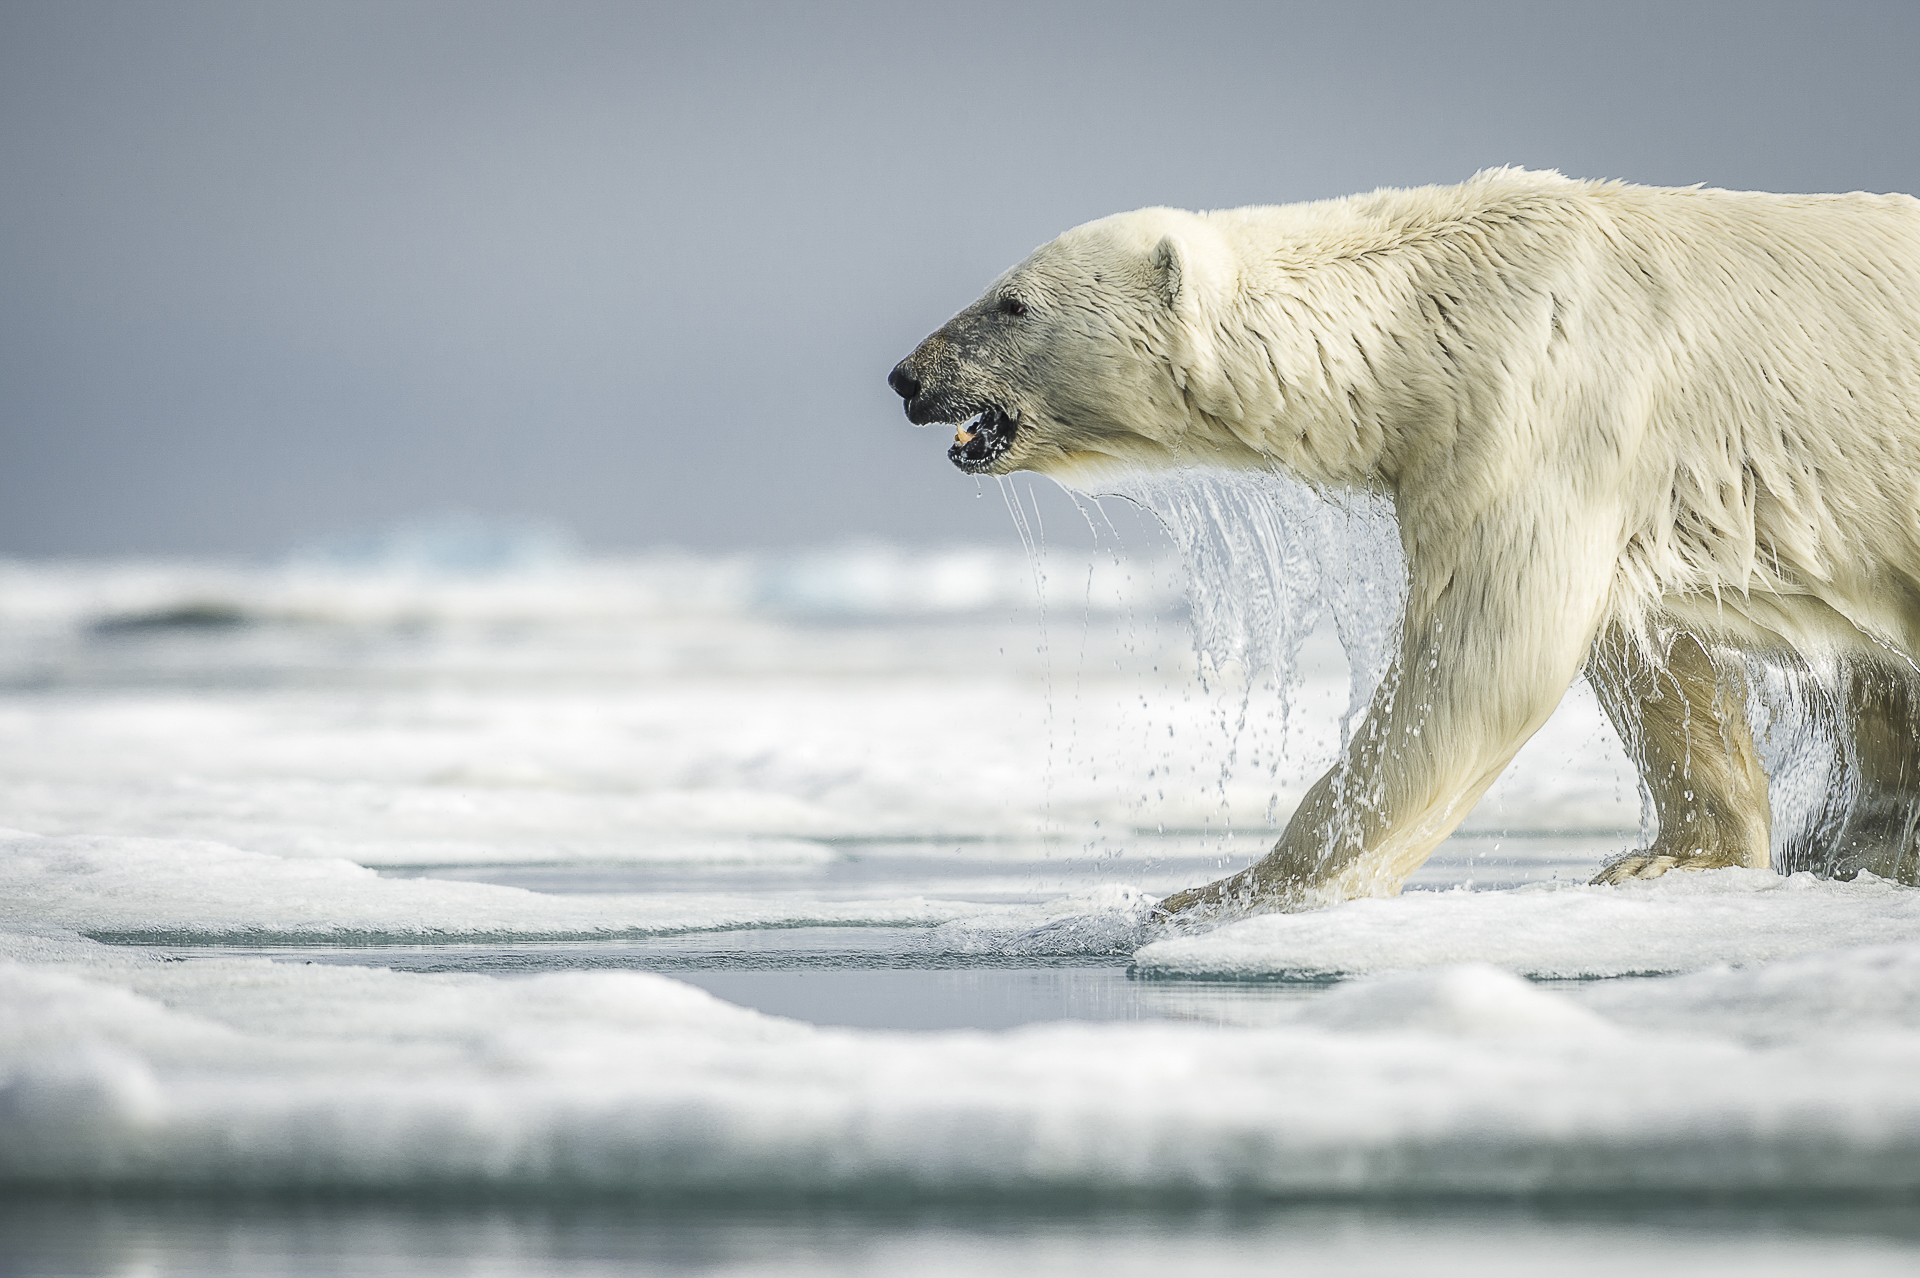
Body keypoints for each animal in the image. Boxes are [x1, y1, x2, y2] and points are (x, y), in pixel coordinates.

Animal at [890, 168, 1920, 909]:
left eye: (1011, 304)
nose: (908, 376)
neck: (1432, 309)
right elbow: (1647, 650)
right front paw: (1683, 858)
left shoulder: (1546, 405)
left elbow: (1485, 655)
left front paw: (1221, 893)